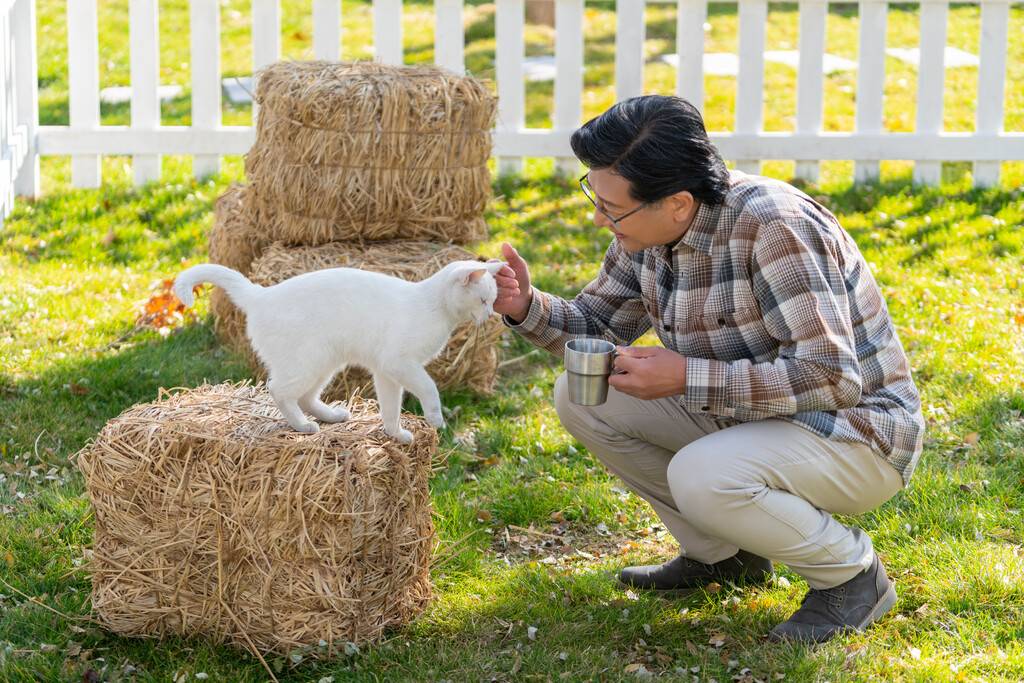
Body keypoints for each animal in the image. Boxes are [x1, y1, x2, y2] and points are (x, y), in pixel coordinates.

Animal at [175, 259, 503, 440]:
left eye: (493, 300)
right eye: (484, 300)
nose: (490, 315)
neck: (432, 306)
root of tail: (261, 294)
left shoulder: (386, 372)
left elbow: (391, 408)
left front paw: (395, 435)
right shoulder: (399, 363)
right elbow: (429, 388)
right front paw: (435, 419)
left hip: (325, 363)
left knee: (305, 397)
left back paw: (332, 417)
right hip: (309, 361)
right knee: (278, 390)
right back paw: (303, 426)